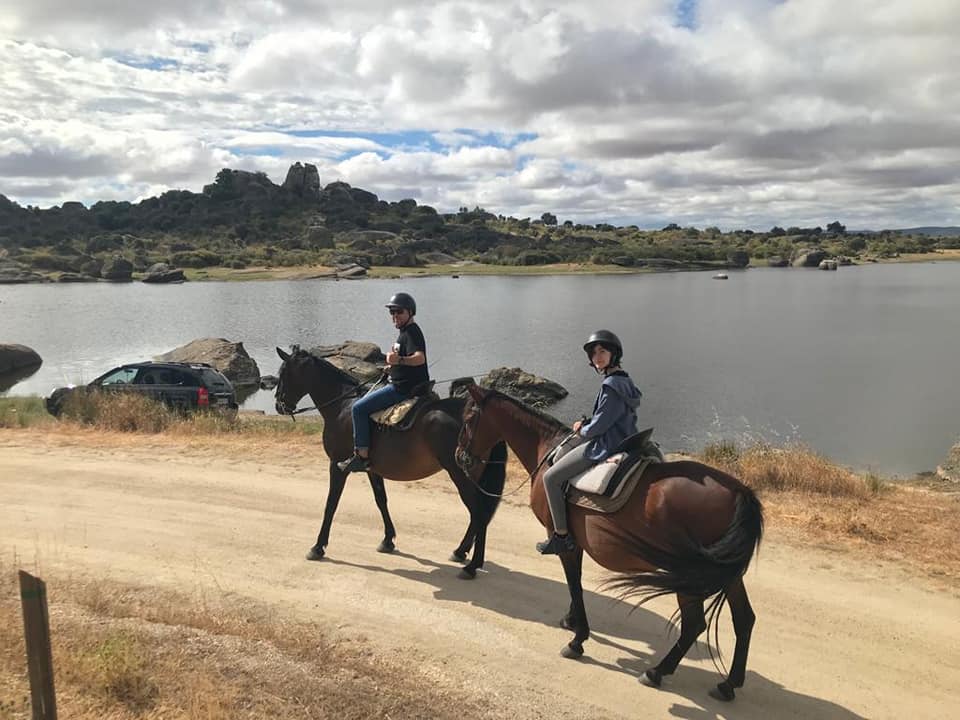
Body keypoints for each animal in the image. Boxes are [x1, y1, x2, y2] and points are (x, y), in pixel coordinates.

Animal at [274, 346, 506, 576]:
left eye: (284, 373)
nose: (278, 405)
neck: (343, 406)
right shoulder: (371, 468)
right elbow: (381, 500)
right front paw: (388, 540)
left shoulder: (337, 466)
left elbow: (331, 504)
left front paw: (318, 546)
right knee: (477, 515)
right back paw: (461, 552)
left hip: (460, 474)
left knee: (479, 513)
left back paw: (472, 565)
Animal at [458, 386, 764, 700]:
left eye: (468, 419)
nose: (460, 457)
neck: (547, 450)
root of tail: (739, 491)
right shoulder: (576, 544)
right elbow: (575, 583)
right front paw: (570, 620)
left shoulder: (565, 542)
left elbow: (575, 585)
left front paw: (577, 640)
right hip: (726, 574)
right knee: (744, 620)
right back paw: (728, 684)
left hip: (690, 574)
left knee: (694, 624)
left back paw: (656, 672)